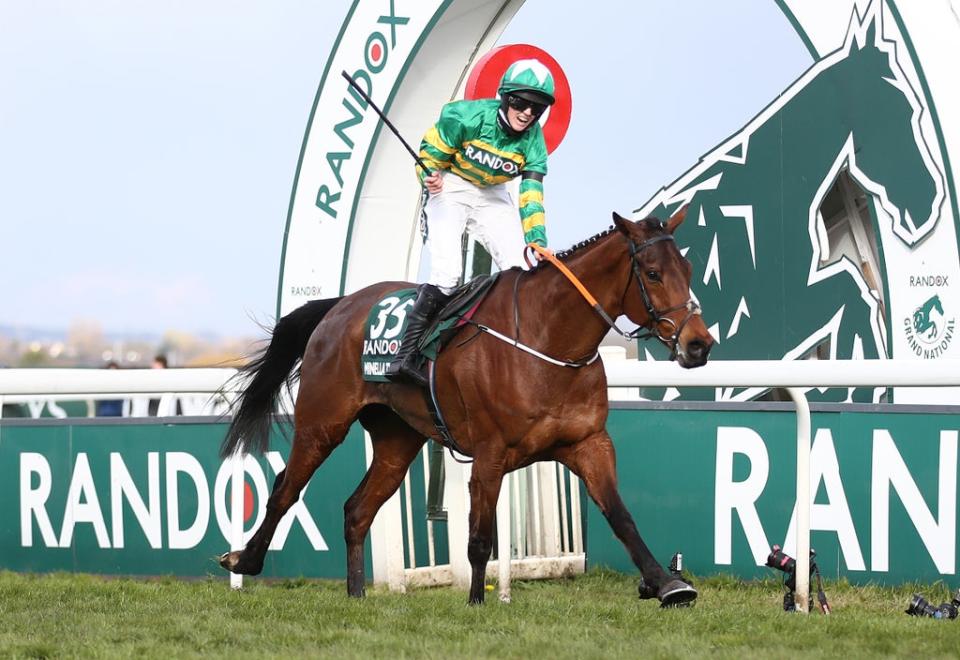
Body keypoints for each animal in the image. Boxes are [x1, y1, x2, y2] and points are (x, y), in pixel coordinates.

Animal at [218, 209, 712, 604]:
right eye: (652, 272)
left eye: (688, 268)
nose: (699, 344)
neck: (548, 340)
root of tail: (340, 305)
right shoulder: (491, 454)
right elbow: (479, 538)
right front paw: (477, 603)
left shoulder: (589, 442)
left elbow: (621, 516)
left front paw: (668, 585)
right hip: (322, 423)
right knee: (284, 490)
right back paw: (244, 560)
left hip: (397, 439)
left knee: (357, 510)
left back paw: (356, 594)